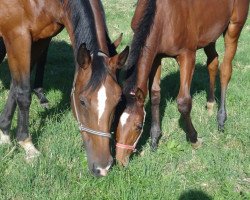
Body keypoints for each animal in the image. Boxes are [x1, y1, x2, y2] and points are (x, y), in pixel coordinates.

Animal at [0, 0, 129, 177]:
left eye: (118, 100)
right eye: (82, 102)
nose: (103, 167)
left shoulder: (40, 39)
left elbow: (15, 87)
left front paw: (4, 132)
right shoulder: (18, 36)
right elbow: (23, 92)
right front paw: (27, 144)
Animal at [114, 0, 248, 166]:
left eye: (138, 126)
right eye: (115, 122)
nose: (120, 160)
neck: (162, 14)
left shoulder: (187, 55)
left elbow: (183, 102)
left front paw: (194, 139)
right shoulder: (156, 55)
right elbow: (155, 95)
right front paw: (154, 140)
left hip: (234, 27)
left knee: (225, 71)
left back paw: (221, 119)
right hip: (210, 35)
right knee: (213, 62)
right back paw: (210, 104)